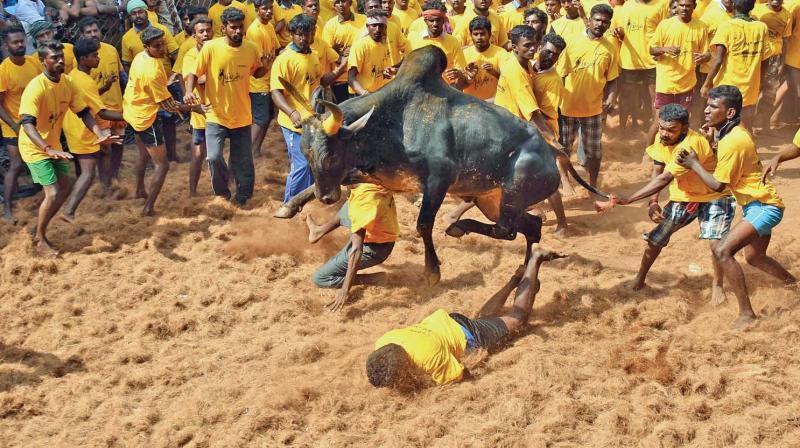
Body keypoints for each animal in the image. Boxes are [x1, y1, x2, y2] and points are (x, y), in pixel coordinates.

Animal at [280, 46, 608, 288]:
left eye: (332, 156)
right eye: (307, 154)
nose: (327, 198)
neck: (390, 122)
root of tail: (550, 152)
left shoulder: (438, 180)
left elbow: (423, 224)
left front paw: (432, 271)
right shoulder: (372, 176)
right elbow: (315, 188)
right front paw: (291, 207)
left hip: (512, 196)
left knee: (508, 229)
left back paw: (458, 227)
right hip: (492, 200)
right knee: (531, 226)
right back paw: (525, 267)